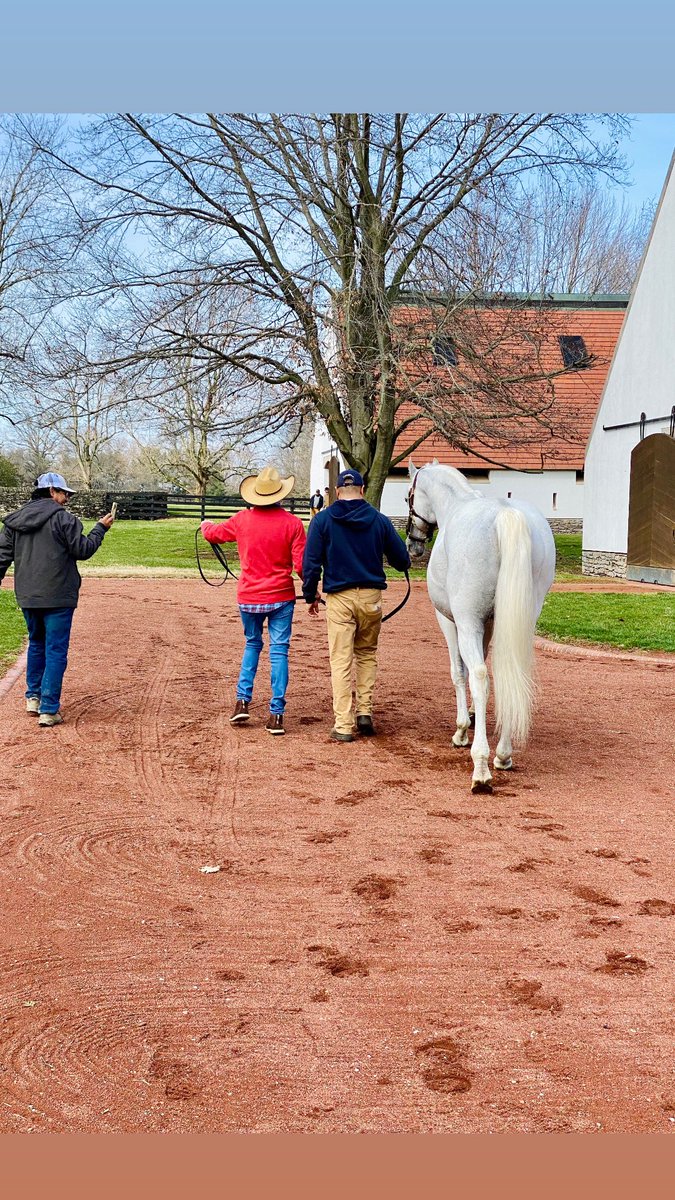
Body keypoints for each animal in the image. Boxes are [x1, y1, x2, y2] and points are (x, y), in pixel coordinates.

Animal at [406, 461, 556, 793]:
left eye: (409, 495)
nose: (412, 543)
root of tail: (505, 514)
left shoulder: (452, 621)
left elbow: (459, 672)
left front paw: (463, 729)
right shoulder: (487, 624)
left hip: (466, 621)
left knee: (479, 676)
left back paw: (482, 766)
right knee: (509, 675)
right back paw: (503, 754)